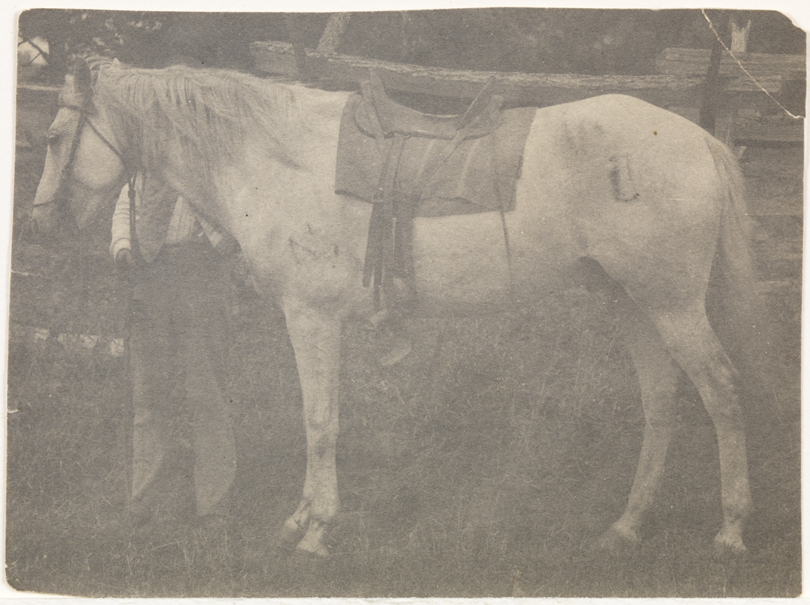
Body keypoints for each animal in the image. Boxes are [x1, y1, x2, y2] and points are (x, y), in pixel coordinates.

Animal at [31, 57, 757, 556]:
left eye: (56, 135)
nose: (40, 225)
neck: (274, 156)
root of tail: (699, 139)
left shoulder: (311, 317)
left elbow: (319, 421)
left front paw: (315, 531)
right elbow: (323, 420)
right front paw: (301, 519)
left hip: (672, 306)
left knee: (723, 392)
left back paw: (730, 530)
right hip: (635, 304)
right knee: (662, 402)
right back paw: (626, 527)